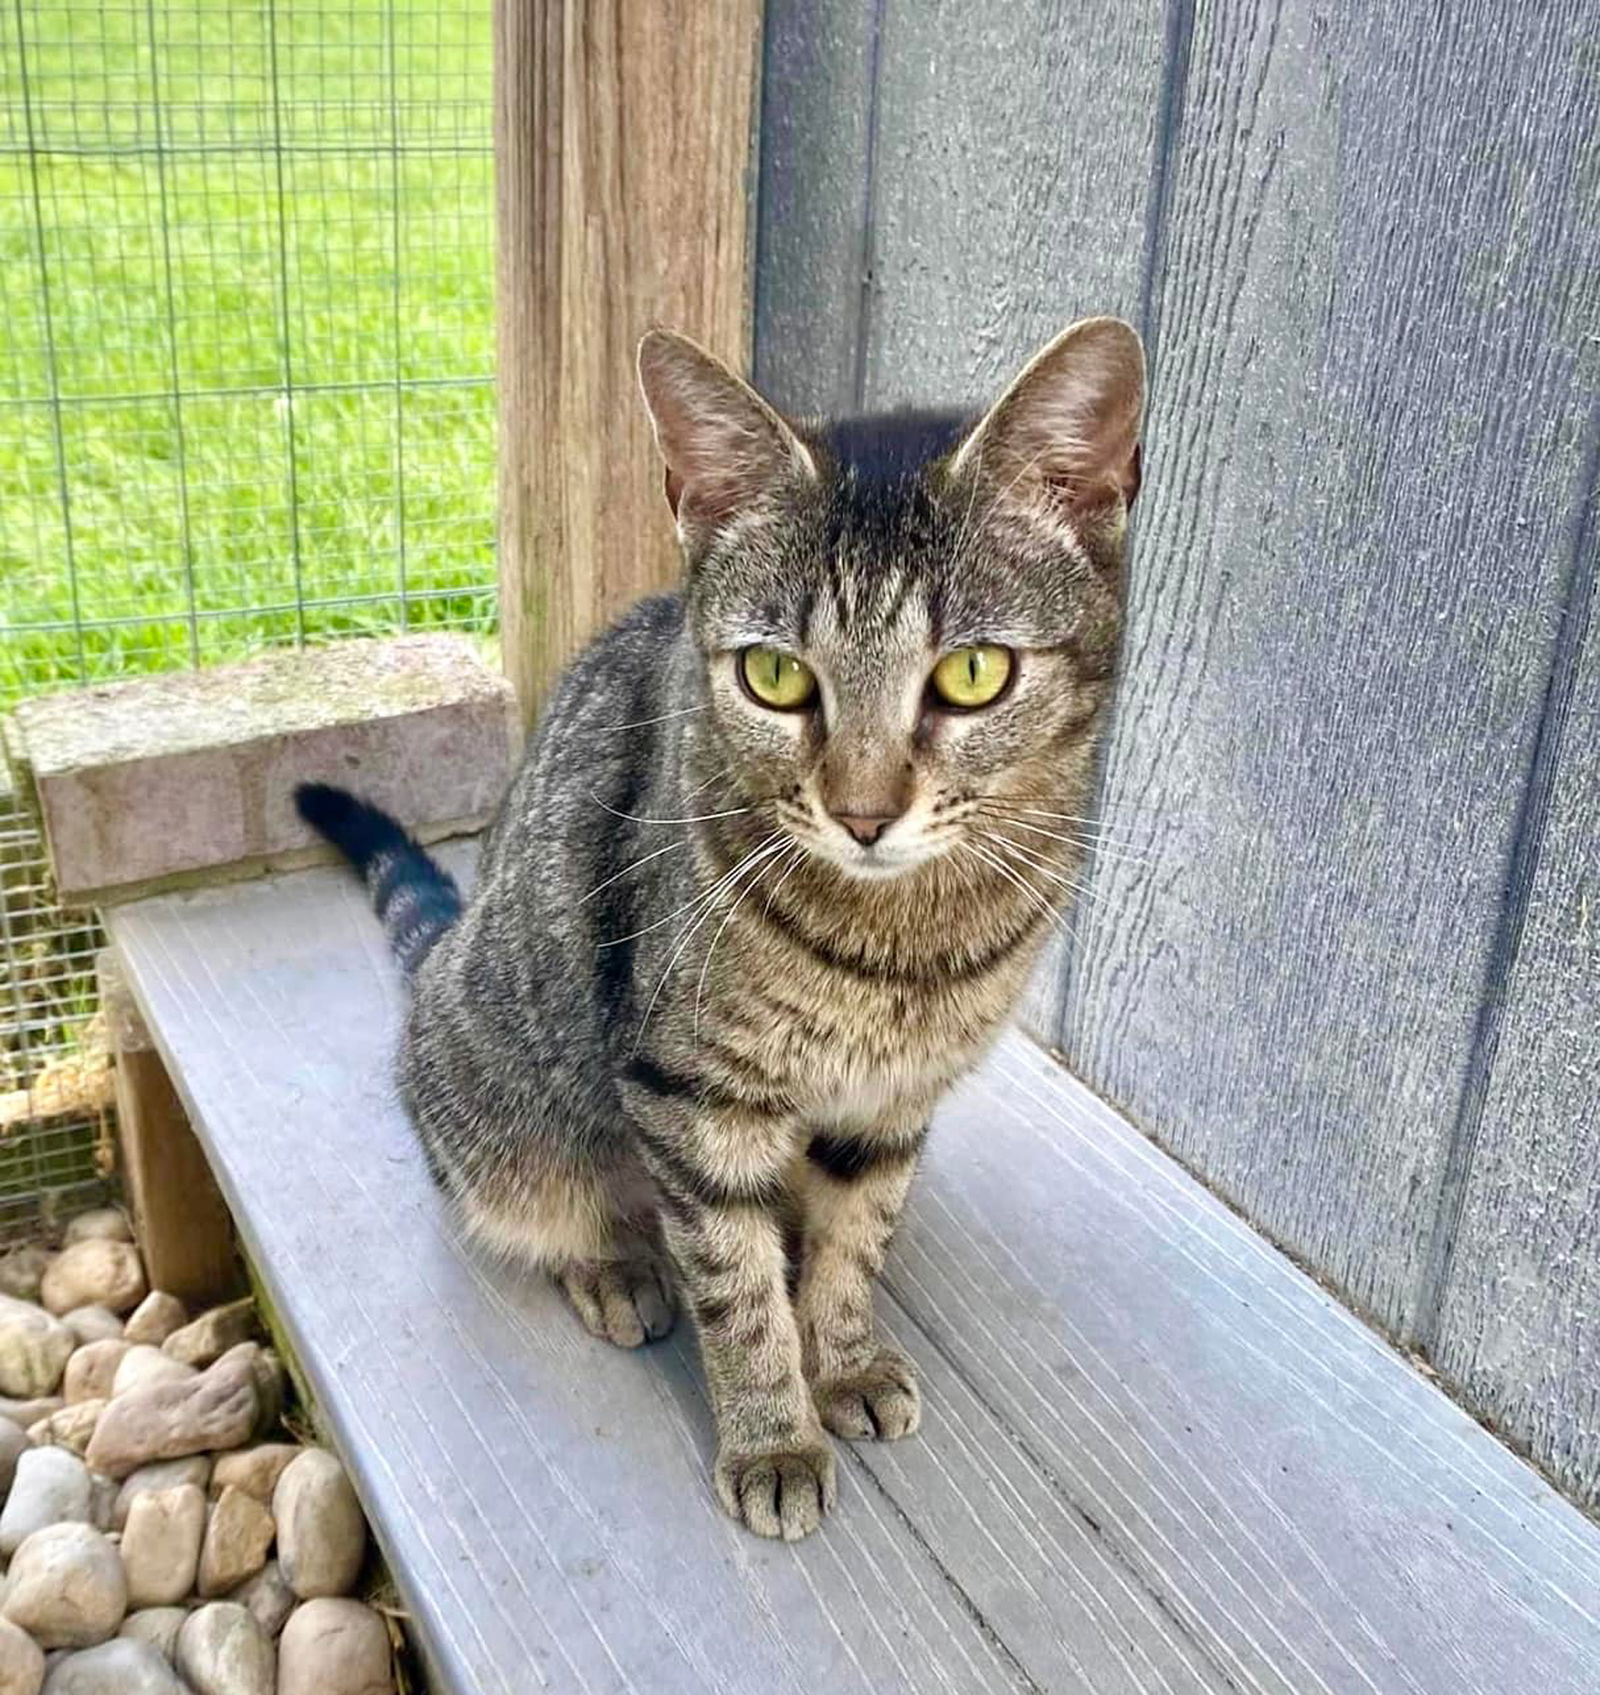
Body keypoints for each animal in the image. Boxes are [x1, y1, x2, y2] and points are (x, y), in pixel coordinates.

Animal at [296, 315, 1138, 1539]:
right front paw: (774, 1435)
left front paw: (842, 1359)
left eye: (975, 673)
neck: (902, 946)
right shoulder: (689, 1095)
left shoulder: (890, 1104)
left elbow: (854, 1241)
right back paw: (614, 1266)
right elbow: (734, 1289)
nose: (863, 814)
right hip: (508, 1102)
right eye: (775, 675)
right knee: (545, 1199)